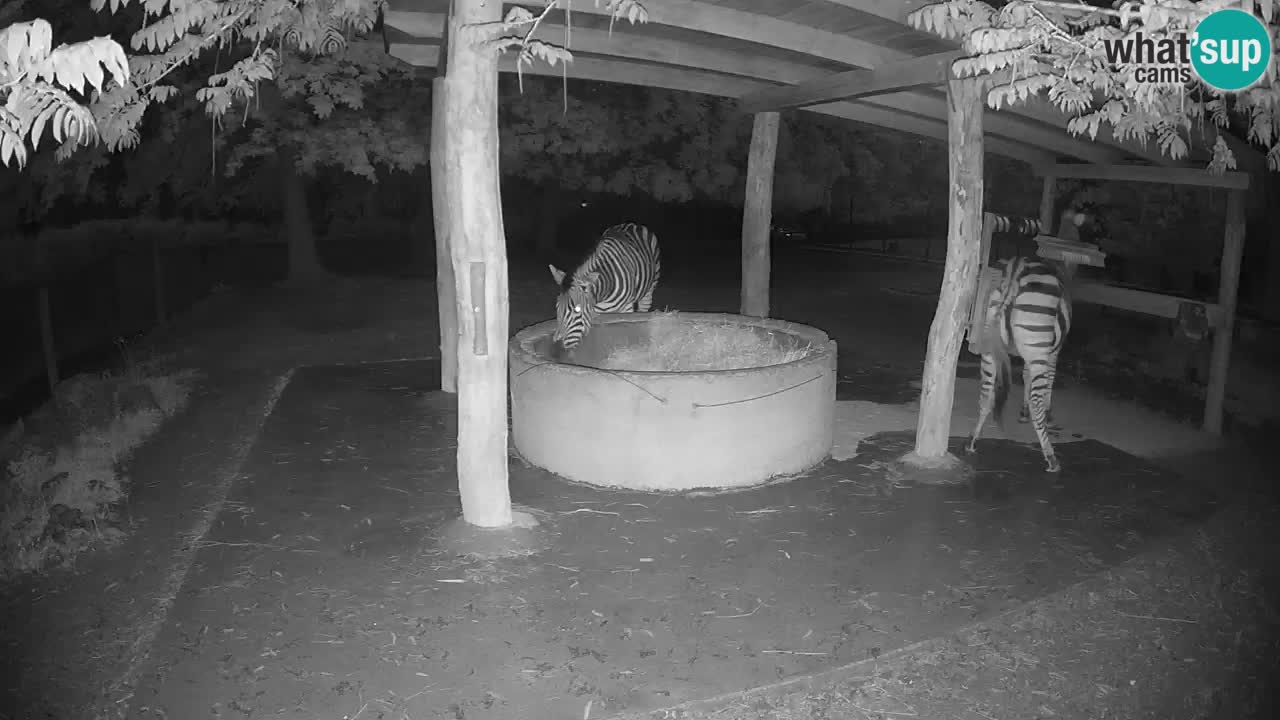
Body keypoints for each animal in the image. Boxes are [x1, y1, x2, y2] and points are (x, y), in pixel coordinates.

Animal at [548, 222, 661, 353]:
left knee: (644, 307)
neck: (605, 290)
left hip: (650, 287)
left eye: (577, 310)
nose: (556, 348)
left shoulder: (626, 308)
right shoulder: (598, 311)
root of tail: (631, 224)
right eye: (557, 307)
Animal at [966, 255, 1073, 473]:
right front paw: (1047, 414)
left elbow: (1025, 375)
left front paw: (1023, 412)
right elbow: (1048, 383)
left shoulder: (1029, 355)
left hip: (989, 348)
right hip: (1038, 350)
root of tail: (1015, 269)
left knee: (985, 396)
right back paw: (1051, 457)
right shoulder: (1052, 353)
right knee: (1036, 401)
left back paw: (973, 440)